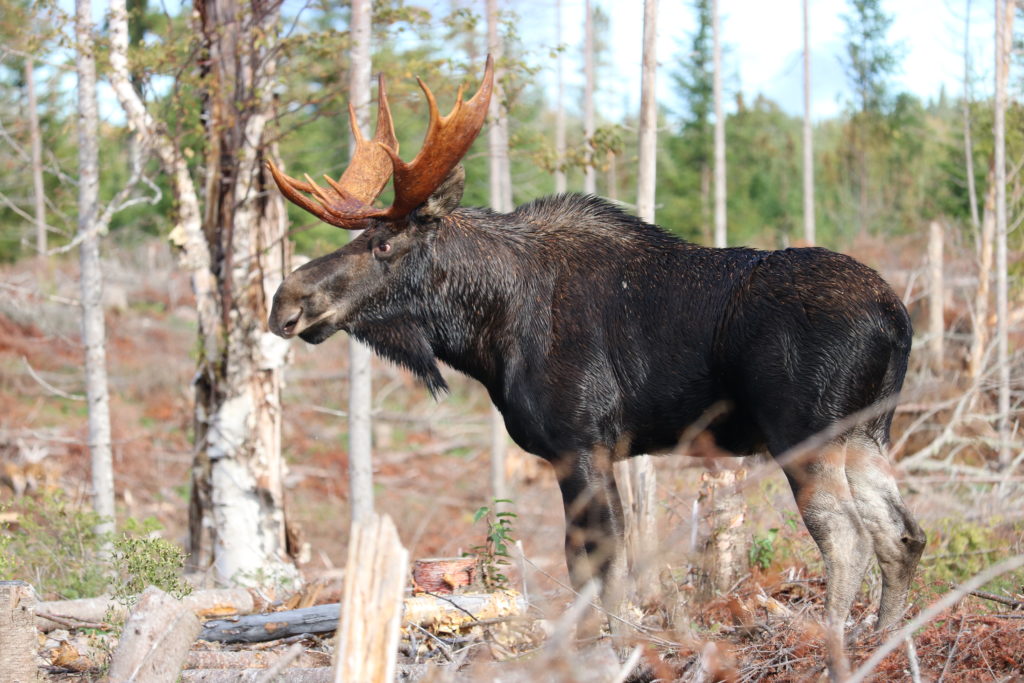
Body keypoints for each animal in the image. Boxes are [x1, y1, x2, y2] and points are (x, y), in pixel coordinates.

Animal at [265, 57, 926, 641]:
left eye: (383, 244)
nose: (285, 302)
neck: (488, 331)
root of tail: (897, 319)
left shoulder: (582, 443)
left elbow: (604, 570)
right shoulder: (589, 453)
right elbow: (590, 569)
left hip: (805, 432)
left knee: (848, 538)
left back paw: (836, 643)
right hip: (867, 432)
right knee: (903, 534)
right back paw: (885, 639)